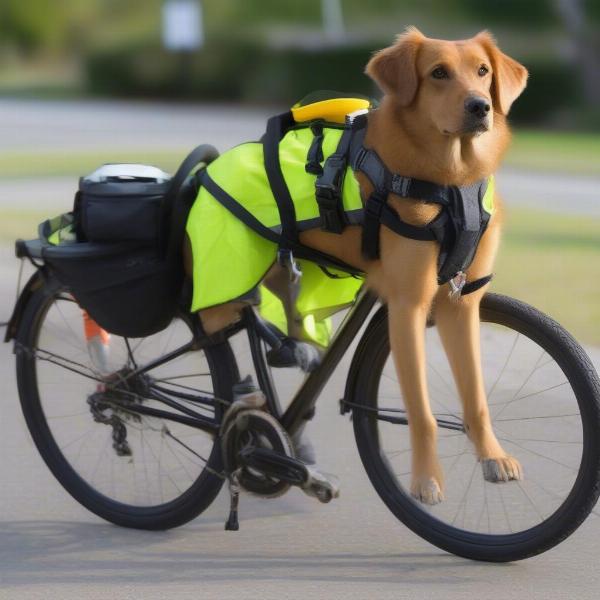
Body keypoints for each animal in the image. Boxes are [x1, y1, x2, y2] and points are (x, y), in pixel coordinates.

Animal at [195, 29, 528, 506]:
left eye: (483, 71)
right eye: (438, 73)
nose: (480, 106)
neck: (450, 181)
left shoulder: (460, 300)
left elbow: (476, 398)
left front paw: (492, 456)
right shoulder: (409, 304)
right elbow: (420, 410)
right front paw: (425, 480)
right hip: (225, 284)